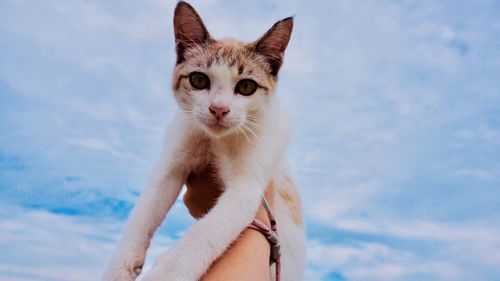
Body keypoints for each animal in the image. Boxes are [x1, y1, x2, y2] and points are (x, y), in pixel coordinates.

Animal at [102, 2, 304, 280]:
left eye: (247, 87)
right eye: (199, 80)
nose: (218, 109)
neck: (214, 141)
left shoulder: (245, 189)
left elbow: (204, 234)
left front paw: (166, 272)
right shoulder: (170, 165)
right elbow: (143, 213)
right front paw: (119, 268)